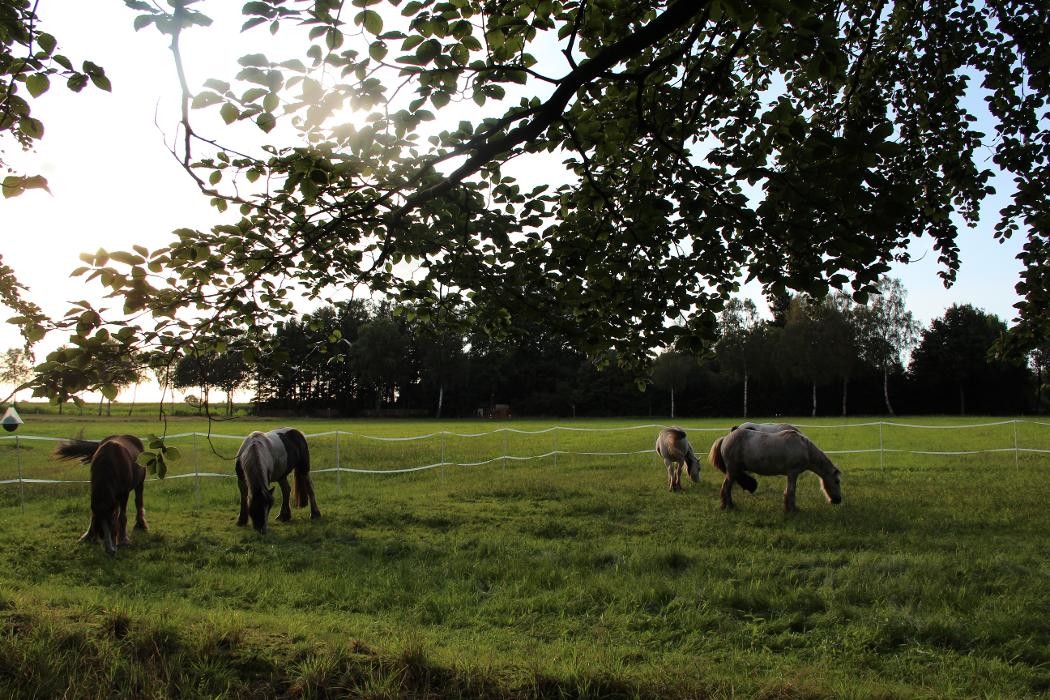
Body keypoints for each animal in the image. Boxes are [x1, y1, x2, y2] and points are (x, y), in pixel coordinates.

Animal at [705, 423, 844, 512]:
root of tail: (725, 438)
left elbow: (789, 491)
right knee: (726, 488)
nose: (838, 500)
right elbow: (791, 491)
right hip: (732, 471)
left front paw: (790, 508)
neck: (804, 448)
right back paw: (728, 506)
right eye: (837, 481)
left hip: (734, 471)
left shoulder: (790, 474)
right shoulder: (793, 473)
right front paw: (792, 510)